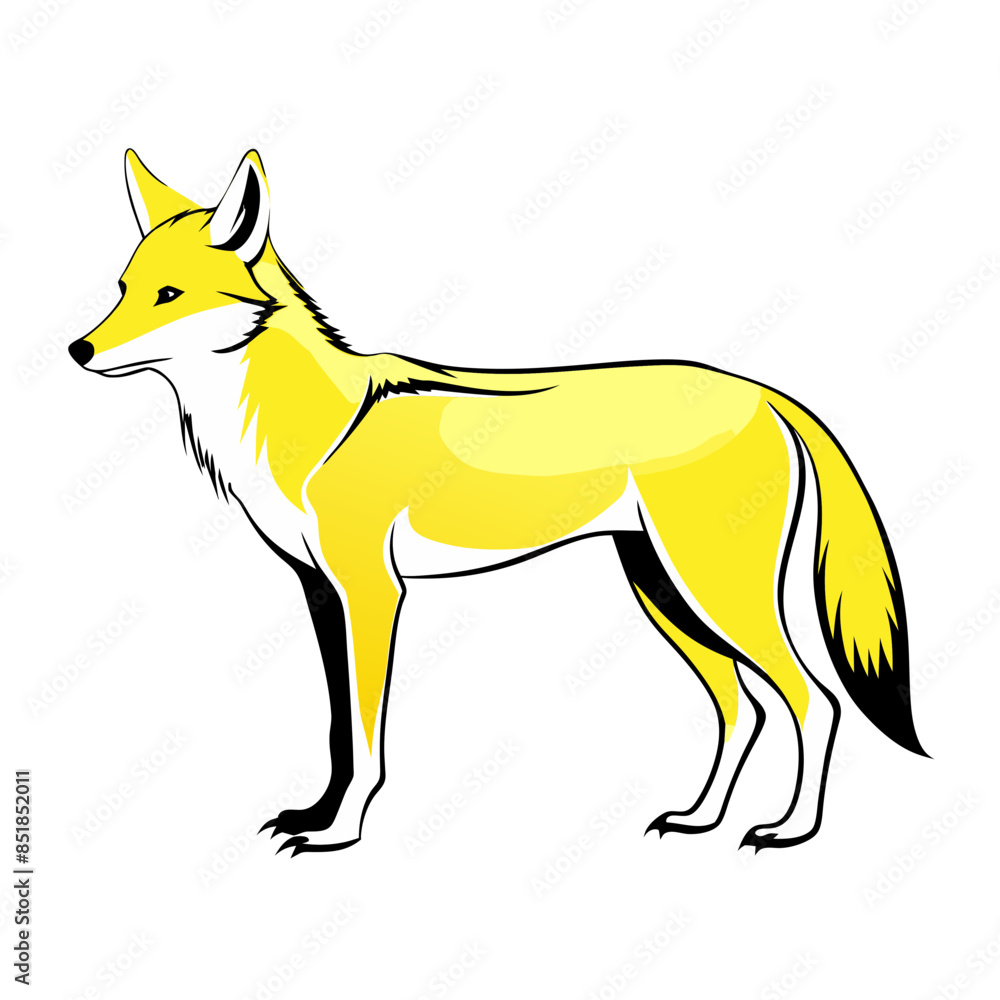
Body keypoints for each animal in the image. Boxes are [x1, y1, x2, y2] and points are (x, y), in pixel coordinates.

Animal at [69, 149, 926, 855]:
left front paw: (341, 833)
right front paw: (317, 814)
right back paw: (699, 819)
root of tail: (767, 392)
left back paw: (790, 829)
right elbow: (340, 731)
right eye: (122, 291)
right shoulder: (320, 593)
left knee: (815, 703)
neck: (311, 432)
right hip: (665, 595)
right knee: (741, 708)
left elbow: (368, 738)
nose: (77, 349)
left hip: (714, 593)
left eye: (169, 295)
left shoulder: (373, 594)